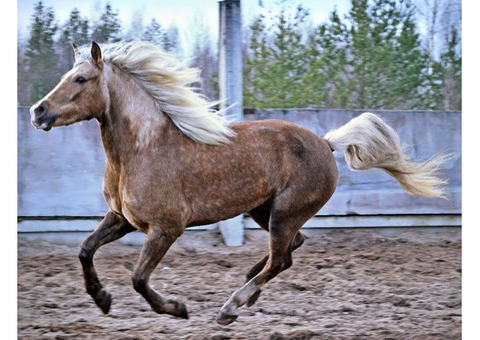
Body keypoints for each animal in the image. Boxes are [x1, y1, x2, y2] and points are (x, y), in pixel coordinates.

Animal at [29, 40, 450, 324]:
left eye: (81, 78)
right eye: (66, 76)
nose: (38, 111)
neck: (141, 149)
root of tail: (326, 142)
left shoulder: (166, 228)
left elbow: (137, 278)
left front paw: (177, 309)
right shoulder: (122, 219)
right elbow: (84, 249)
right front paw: (102, 299)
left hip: (283, 214)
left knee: (281, 258)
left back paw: (232, 305)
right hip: (267, 212)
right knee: (292, 249)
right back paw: (249, 287)